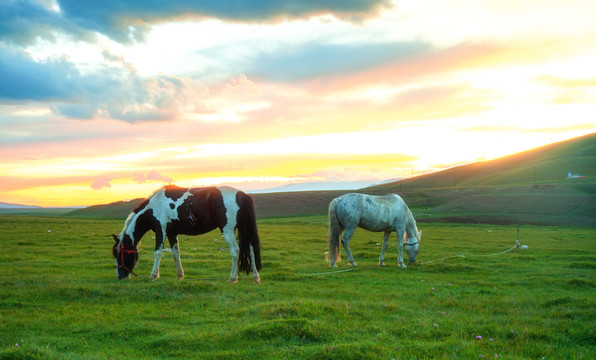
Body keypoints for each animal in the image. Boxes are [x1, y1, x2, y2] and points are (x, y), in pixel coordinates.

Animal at [112, 186, 260, 284]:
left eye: (121, 254)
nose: (120, 276)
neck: (154, 206)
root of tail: (241, 195)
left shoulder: (161, 231)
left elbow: (157, 253)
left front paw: (153, 275)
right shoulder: (172, 234)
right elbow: (175, 254)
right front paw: (179, 275)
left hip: (227, 230)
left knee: (235, 251)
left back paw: (232, 278)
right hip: (243, 230)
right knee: (251, 250)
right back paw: (255, 277)